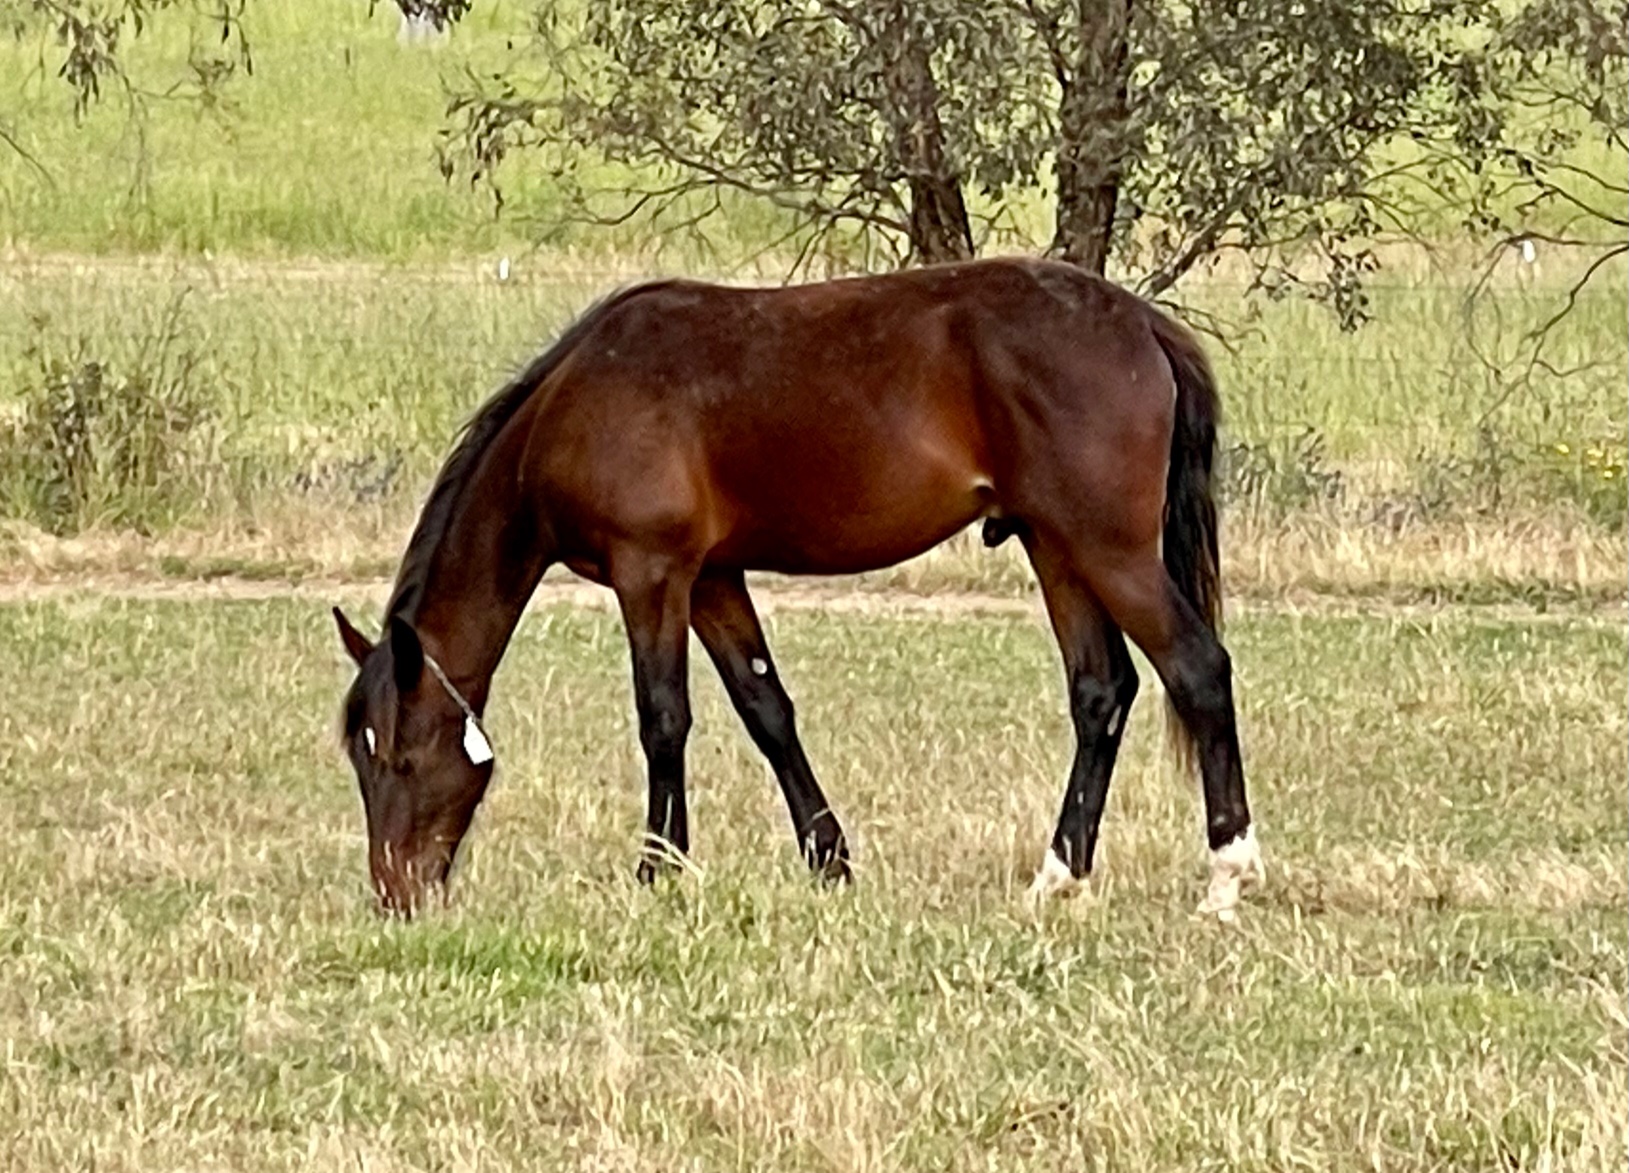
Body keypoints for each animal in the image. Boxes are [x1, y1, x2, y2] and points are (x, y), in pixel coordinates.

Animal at [333, 257, 1264, 918]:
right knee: (1100, 692)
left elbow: (662, 719)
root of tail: (1143, 324)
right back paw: (1057, 876)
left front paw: (657, 870)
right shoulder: (713, 579)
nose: (394, 893)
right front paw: (829, 859)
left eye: (403, 757)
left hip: (1106, 549)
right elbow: (766, 712)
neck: (575, 404)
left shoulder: (651, 573)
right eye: (359, 757)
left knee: (1198, 669)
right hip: (1056, 547)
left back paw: (1226, 876)